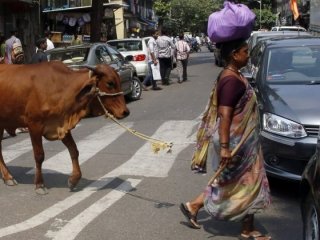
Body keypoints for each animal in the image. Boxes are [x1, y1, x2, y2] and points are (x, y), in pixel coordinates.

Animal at [0, 61, 129, 194]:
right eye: (110, 83)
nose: (125, 112)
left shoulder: (62, 125)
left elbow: (74, 150)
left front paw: (74, 180)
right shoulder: (34, 125)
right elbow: (39, 156)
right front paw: (40, 185)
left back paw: (7, 177)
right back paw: (8, 177)